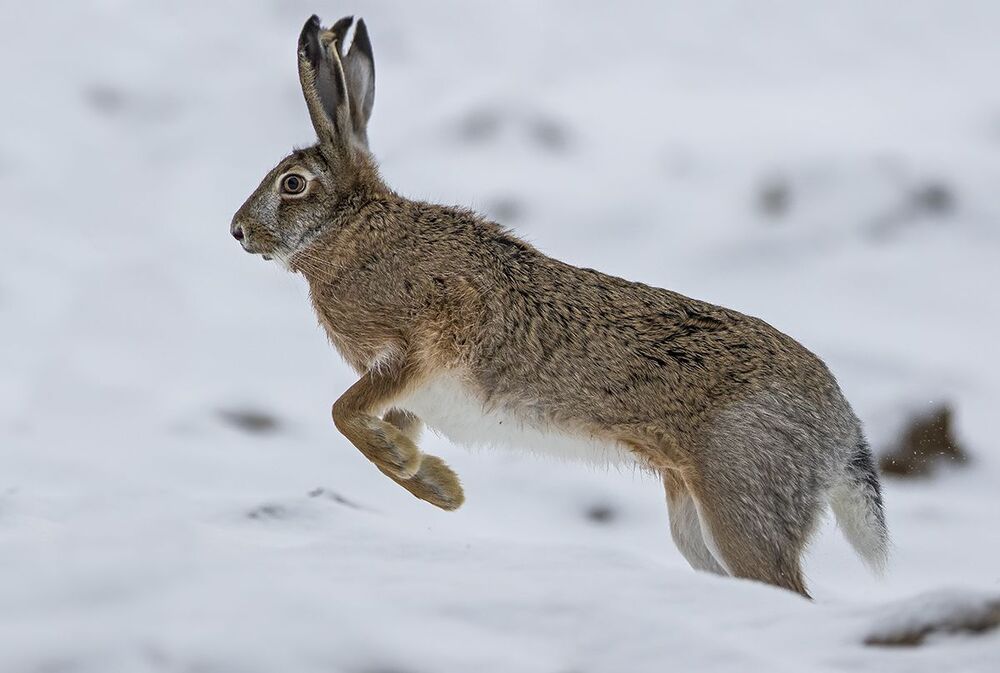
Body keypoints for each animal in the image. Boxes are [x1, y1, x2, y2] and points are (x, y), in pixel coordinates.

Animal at [231, 15, 888, 597]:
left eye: (293, 184)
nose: (237, 231)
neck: (349, 233)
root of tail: (838, 427)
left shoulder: (433, 336)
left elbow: (343, 414)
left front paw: (423, 475)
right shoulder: (406, 393)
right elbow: (375, 423)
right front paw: (432, 482)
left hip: (740, 493)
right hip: (693, 512)